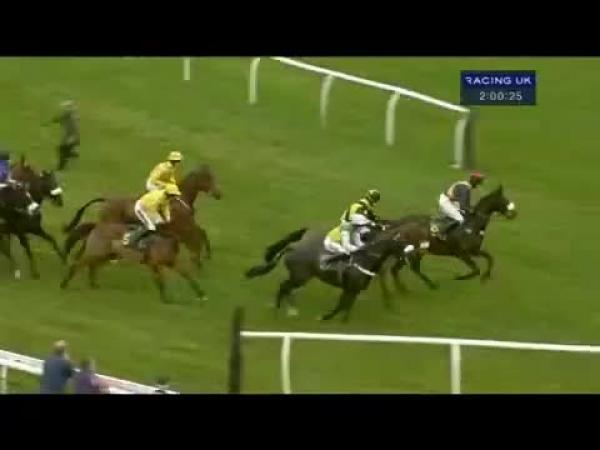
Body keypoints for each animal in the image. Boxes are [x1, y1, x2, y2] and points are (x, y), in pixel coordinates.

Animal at [59, 222, 207, 304]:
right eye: (198, 241)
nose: (199, 260)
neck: (166, 241)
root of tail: (96, 226)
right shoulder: (155, 264)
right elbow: (161, 280)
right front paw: (165, 299)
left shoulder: (171, 262)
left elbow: (186, 275)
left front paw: (201, 294)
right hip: (96, 252)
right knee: (78, 265)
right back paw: (64, 284)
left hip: (106, 255)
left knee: (92, 267)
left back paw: (94, 285)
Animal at [62, 164, 221, 265]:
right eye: (208, 178)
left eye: (213, 177)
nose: (218, 194)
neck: (179, 199)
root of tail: (107, 199)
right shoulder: (178, 228)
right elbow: (199, 233)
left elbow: (201, 232)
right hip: (109, 224)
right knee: (86, 232)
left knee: (85, 231)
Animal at [245, 226, 417, 322]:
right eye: (400, 244)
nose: (409, 257)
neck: (366, 259)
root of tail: (293, 247)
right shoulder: (350, 288)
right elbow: (341, 306)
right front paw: (325, 318)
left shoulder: (353, 290)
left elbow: (346, 307)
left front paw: (343, 322)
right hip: (300, 276)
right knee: (284, 287)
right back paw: (282, 310)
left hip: (299, 277)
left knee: (286, 288)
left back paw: (288, 309)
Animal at [378, 185, 517, 297]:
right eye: (504, 201)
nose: (514, 214)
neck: (473, 226)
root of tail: (400, 225)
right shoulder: (462, 254)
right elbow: (476, 269)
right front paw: (459, 277)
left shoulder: (474, 250)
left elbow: (490, 258)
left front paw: (485, 277)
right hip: (413, 252)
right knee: (409, 269)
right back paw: (429, 285)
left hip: (413, 252)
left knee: (398, 269)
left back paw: (405, 289)